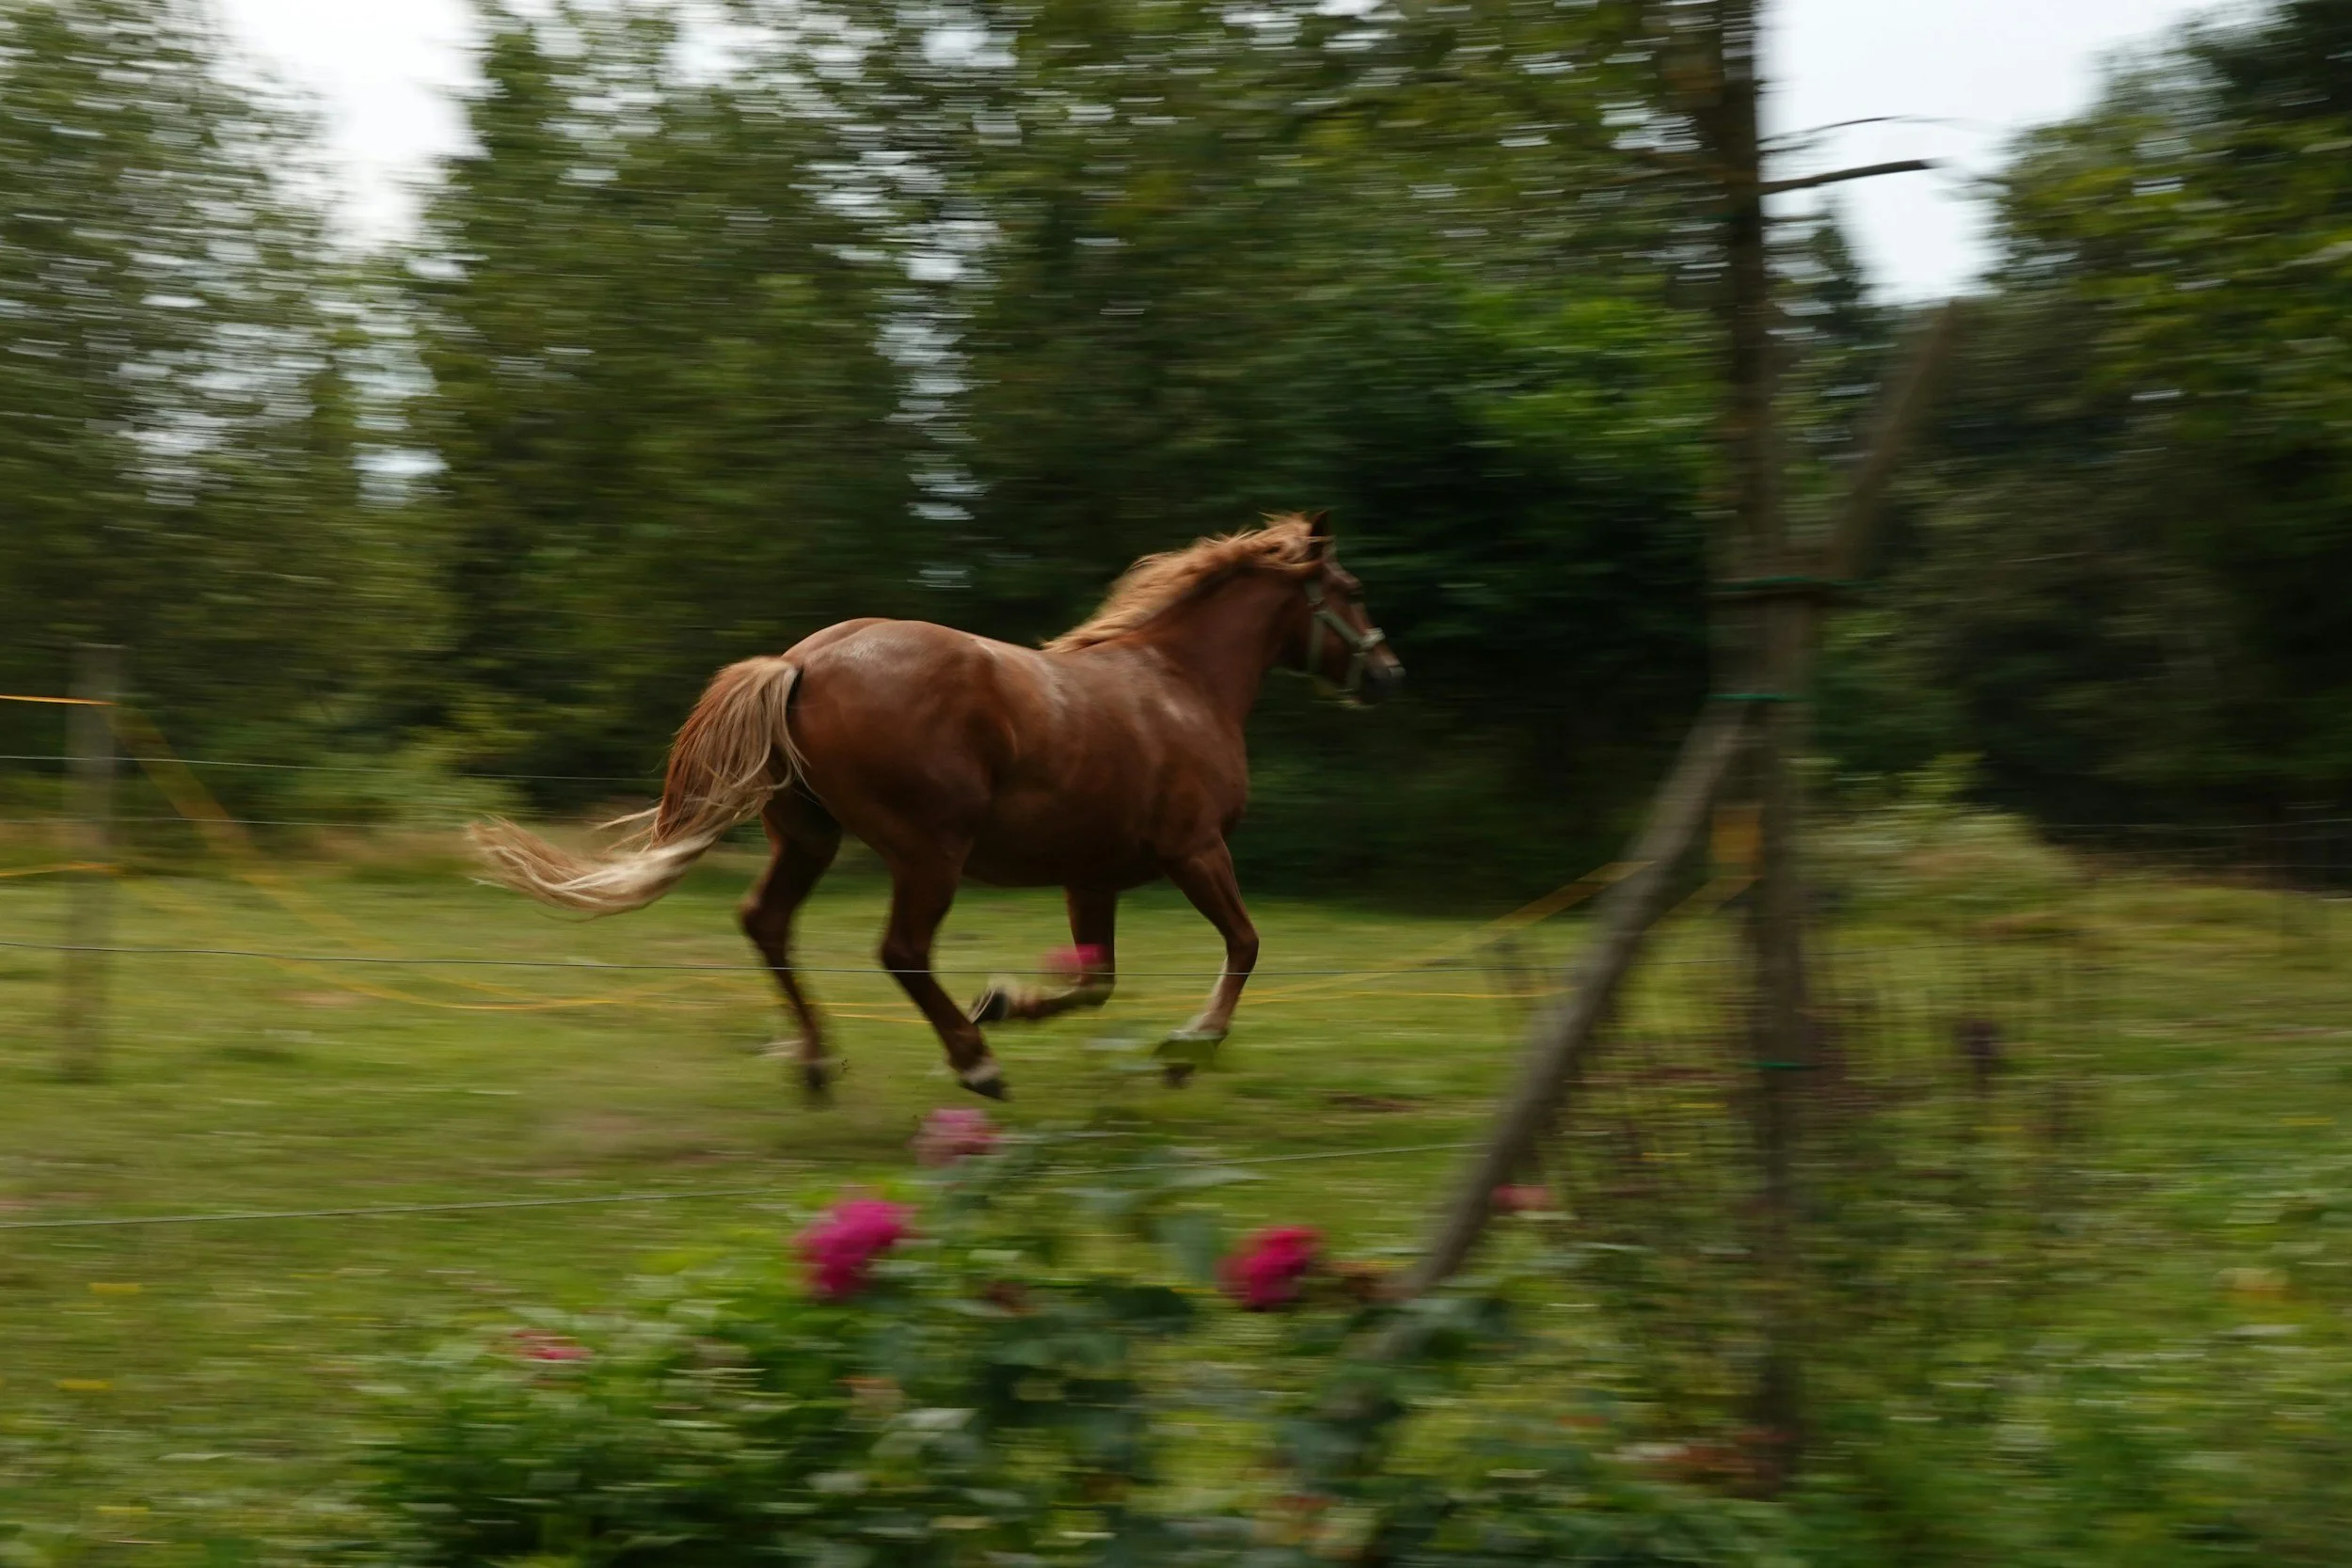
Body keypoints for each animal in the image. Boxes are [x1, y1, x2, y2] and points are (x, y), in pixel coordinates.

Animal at [468, 511, 1402, 1102]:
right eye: (1353, 588)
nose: (1391, 673)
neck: (1180, 684)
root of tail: (801, 661)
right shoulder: (1196, 850)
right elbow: (1244, 945)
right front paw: (1187, 1046)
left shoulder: (1090, 874)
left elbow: (1096, 980)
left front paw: (1009, 1001)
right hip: (930, 851)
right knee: (901, 950)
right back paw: (974, 1066)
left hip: (809, 840)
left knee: (767, 924)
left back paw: (819, 1062)